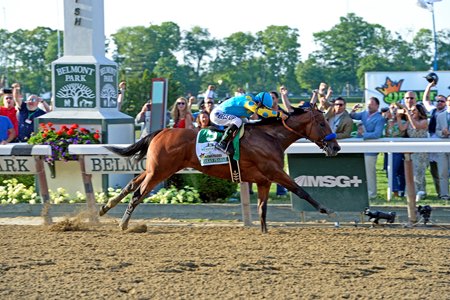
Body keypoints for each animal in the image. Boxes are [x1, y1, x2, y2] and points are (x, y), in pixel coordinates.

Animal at [100, 106, 340, 233]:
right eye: (322, 124)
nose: (336, 147)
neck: (270, 137)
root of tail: (162, 131)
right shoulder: (275, 172)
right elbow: (301, 191)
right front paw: (327, 210)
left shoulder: (264, 180)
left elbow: (262, 208)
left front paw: (264, 232)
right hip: (160, 171)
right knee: (139, 194)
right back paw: (123, 223)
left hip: (154, 170)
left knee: (132, 185)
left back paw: (105, 207)